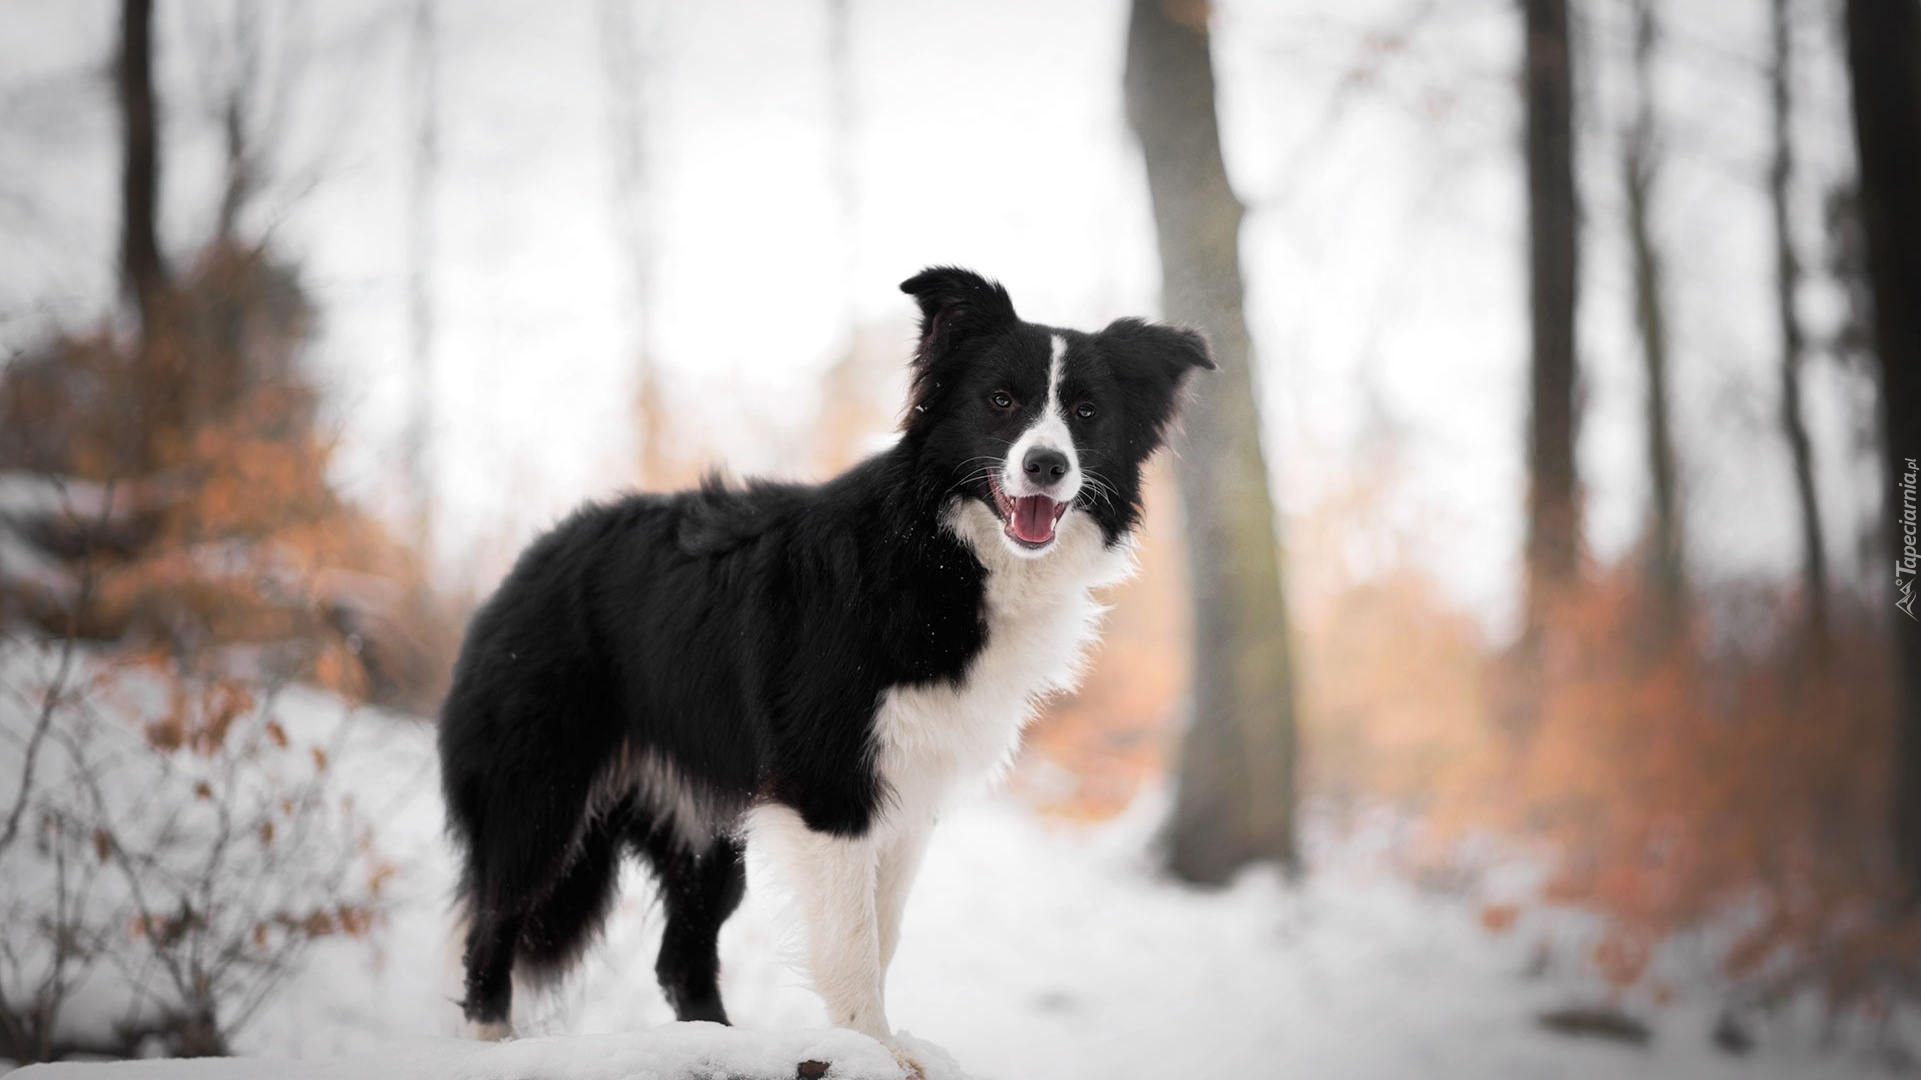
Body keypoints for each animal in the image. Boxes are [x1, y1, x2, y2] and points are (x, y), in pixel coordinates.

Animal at [441, 267, 1206, 1060]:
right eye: (1000, 400)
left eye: (1086, 412)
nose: (1046, 466)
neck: (942, 554)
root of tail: (529, 558)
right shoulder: (829, 787)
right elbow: (852, 943)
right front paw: (874, 1051)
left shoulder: (909, 793)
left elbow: (883, 934)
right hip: (539, 796)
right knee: (491, 927)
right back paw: (491, 1044)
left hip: (705, 827)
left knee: (681, 957)